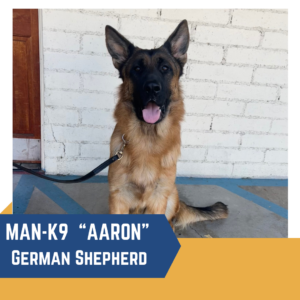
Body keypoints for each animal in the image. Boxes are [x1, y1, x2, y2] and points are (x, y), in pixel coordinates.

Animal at [105, 19, 227, 230]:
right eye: (137, 69)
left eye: (165, 68)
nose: (152, 88)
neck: (147, 137)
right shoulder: (118, 196)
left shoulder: (158, 197)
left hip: (170, 197)